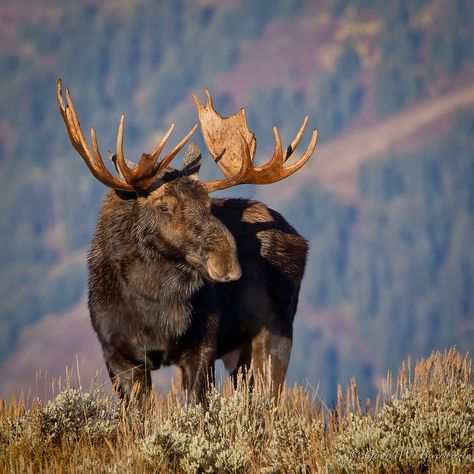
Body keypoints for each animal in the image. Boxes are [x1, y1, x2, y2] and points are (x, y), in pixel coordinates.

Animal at [58, 81, 318, 404]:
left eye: (208, 204)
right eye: (163, 206)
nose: (226, 262)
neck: (152, 306)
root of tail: (299, 237)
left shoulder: (202, 346)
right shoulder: (117, 354)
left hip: (275, 331)